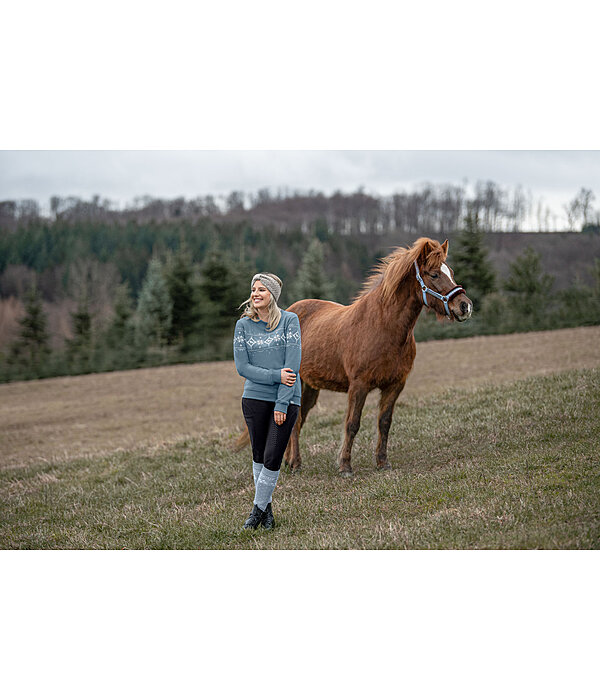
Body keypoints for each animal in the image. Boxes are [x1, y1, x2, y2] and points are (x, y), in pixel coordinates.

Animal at [234, 239, 474, 476]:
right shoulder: (359, 385)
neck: (382, 326)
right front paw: (345, 466)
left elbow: (384, 422)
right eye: (434, 274)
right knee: (295, 421)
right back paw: (295, 463)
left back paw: (285, 461)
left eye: (451, 272)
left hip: (310, 387)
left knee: (296, 420)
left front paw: (382, 462)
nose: (465, 306)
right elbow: (352, 424)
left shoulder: (395, 384)